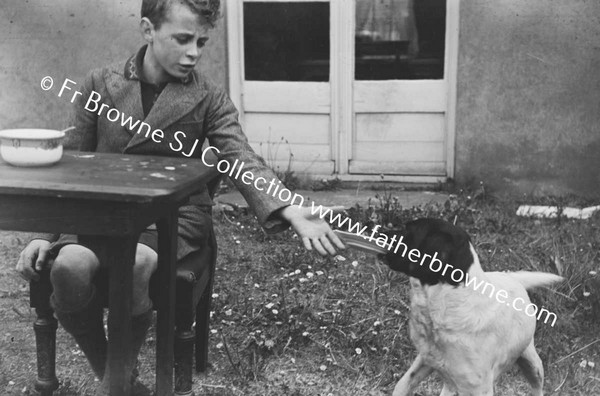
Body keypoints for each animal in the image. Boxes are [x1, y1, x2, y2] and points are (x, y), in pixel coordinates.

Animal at [380, 218, 564, 394]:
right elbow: (402, 385)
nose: (377, 230)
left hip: (532, 363)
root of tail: (510, 277)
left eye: (408, 229)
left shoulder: (478, 387)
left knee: (537, 386)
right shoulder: (427, 360)